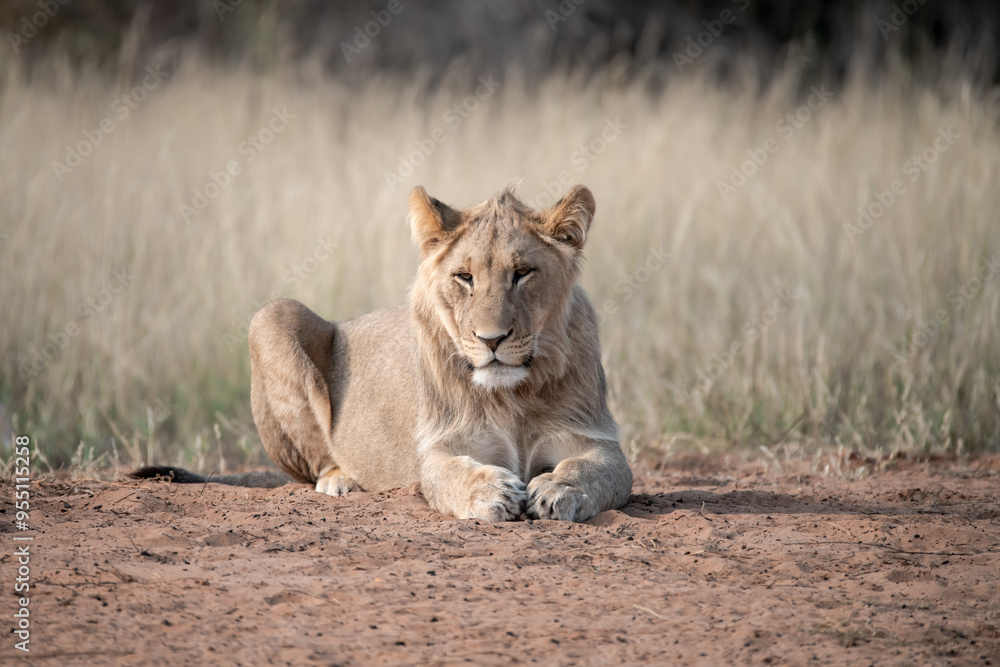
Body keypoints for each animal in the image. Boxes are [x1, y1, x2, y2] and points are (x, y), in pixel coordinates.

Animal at [133, 184, 632, 522]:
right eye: (465, 277)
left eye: (523, 273)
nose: (491, 339)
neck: (512, 395)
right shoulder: (441, 445)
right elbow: (449, 476)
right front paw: (491, 492)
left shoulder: (596, 439)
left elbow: (595, 471)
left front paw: (558, 489)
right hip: (271, 316)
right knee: (316, 465)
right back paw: (340, 481)